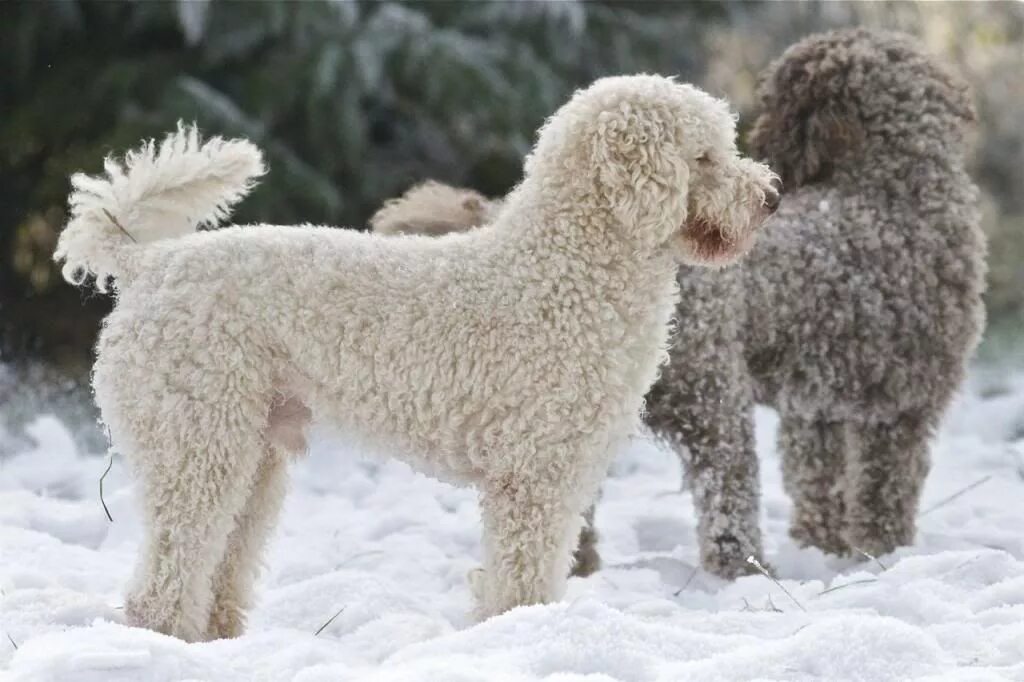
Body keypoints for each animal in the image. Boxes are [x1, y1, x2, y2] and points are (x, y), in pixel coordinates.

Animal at [56, 74, 774, 638]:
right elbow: (522, 574)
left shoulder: (557, 472)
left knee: (224, 554)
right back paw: (162, 638)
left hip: (251, 448)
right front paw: (521, 631)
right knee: (168, 568)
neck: (565, 267)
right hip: (194, 438)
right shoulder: (534, 474)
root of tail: (149, 264)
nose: (770, 196)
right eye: (704, 157)